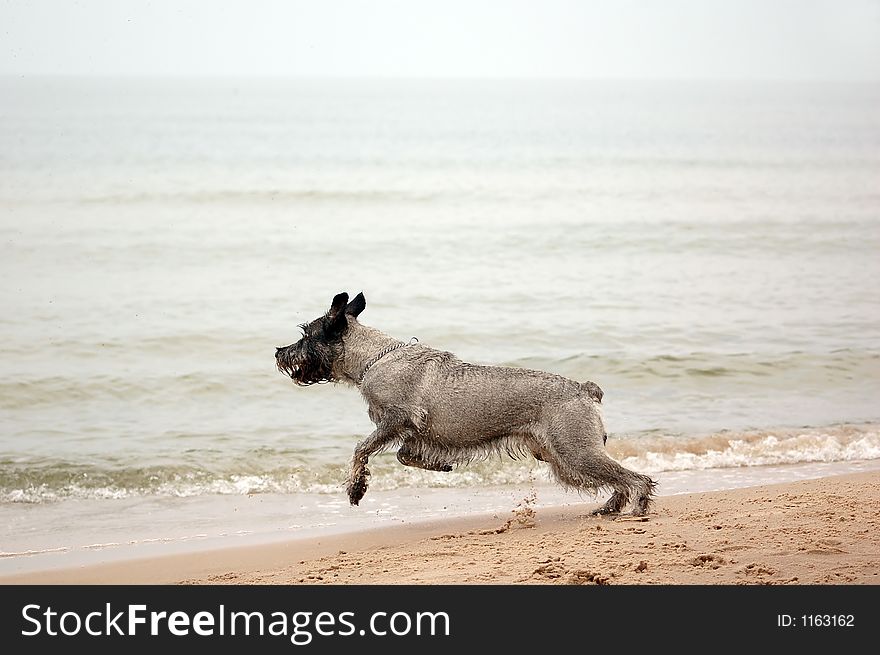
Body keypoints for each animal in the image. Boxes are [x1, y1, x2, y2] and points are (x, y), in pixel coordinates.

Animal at [276, 294, 652, 516]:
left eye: (306, 335)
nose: (280, 353)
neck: (374, 358)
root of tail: (585, 390)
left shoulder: (394, 420)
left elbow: (361, 449)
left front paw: (356, 488)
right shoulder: (413, 432)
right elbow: (405, 455)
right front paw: (438, 466)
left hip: (575, 451)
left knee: (635, 477)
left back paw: (639, 506)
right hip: (563, 458)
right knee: (619, 478)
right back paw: (612, 507)